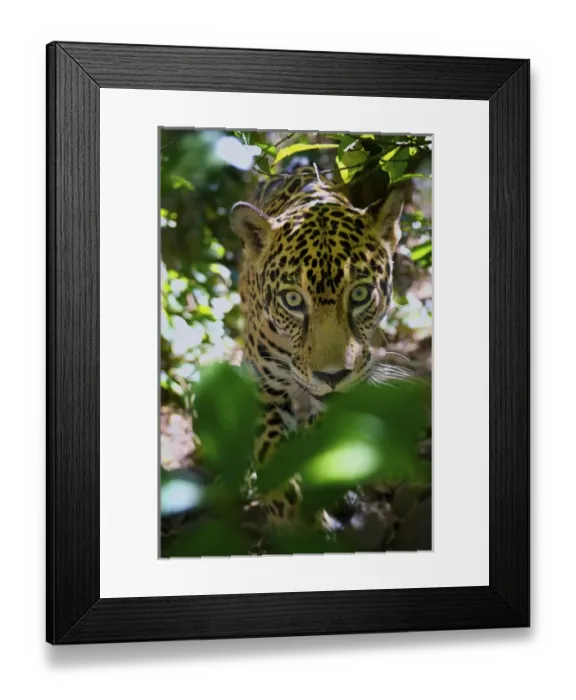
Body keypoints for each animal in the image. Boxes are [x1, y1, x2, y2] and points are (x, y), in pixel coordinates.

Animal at [229, 165, 404, 531]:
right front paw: (299, 524)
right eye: (293, 300)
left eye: (360, 294)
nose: (333, 376)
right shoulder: (260, 386)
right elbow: (271, 458)